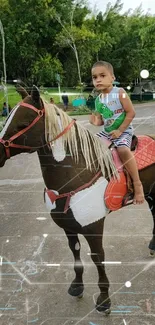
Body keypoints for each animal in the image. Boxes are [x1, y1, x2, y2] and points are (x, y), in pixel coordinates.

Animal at [0, 85, 155, 312]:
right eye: (7, 119)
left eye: (23, 123)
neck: (76, 173)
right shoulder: (69, 227)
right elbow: (75, 254)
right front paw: (77, 287)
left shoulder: (93, 227)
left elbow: (98, 258)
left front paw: (104, 300)